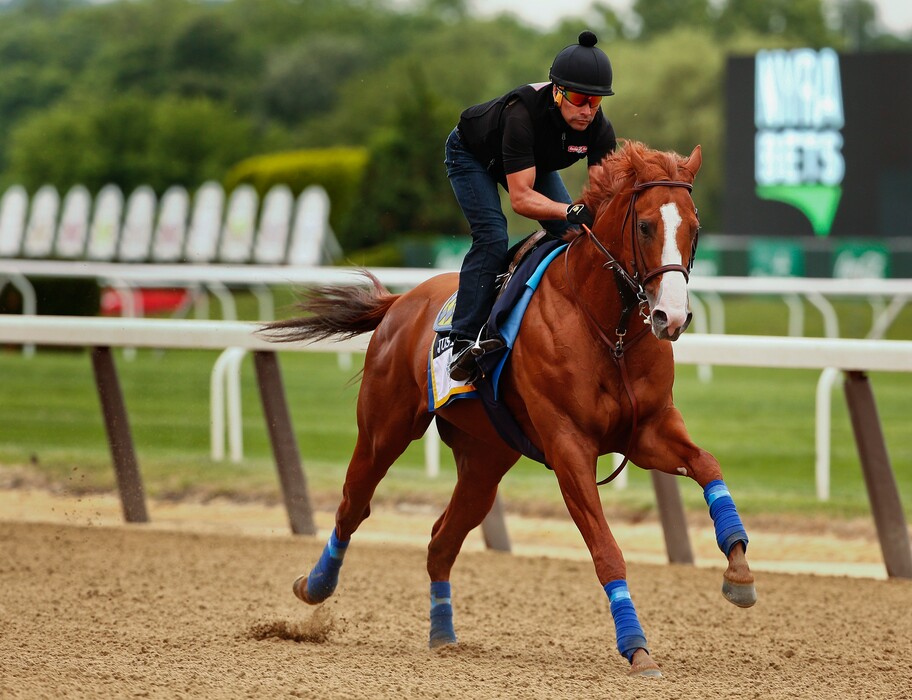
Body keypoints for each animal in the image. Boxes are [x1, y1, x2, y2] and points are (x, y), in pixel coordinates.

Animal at [261, 140, 756, 677]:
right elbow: (606, 549)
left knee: (441, 539)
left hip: (485, 459)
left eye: (694, 228)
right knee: (353, 506)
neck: (610, 328)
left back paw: (443, 635)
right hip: (383, 430)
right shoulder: (569, 446)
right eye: (645, 226)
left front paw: (739, 571)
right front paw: (637, 648)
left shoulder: (646, 429)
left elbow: (707, 465)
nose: (672, 316)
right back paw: (315, 586)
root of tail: (401, 302)